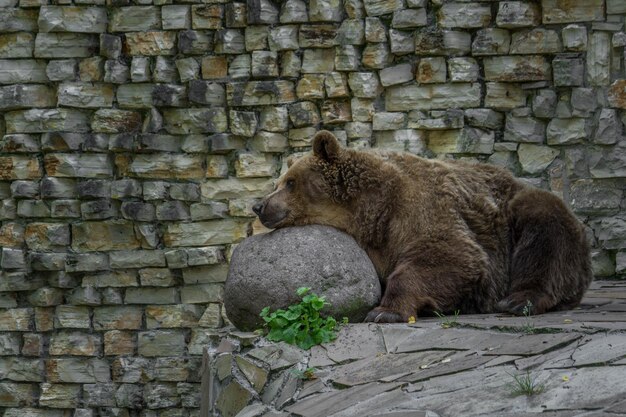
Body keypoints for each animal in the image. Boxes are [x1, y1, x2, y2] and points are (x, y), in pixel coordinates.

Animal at [251, 130, 592, 322]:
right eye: (277, 182)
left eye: (290, 182)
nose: (259, 206)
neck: (369, 212)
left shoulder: (418, 209)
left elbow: (451, 255)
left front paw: (384, 311)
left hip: (520, 213)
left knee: (544, 232)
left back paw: (518, 300)